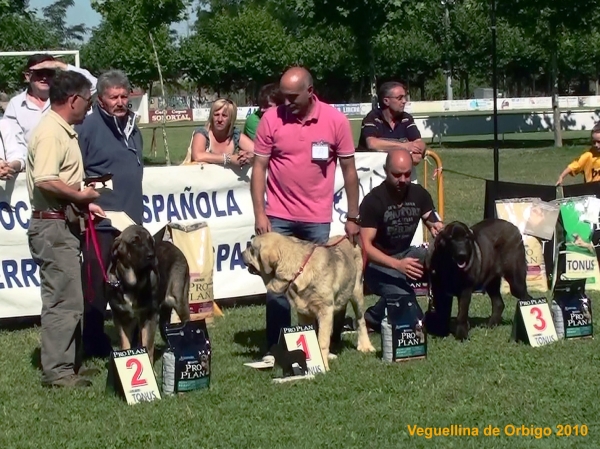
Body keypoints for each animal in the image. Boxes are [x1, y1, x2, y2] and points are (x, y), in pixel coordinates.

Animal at [105, 224, 190, 364]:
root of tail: (172, 245)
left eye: (151, 241)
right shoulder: (121, 317)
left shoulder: (149, 316)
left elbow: (147, 344)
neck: (131, 284)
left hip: (179, 299)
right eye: (134, 242)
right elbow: (125, 344)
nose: (151, 256)